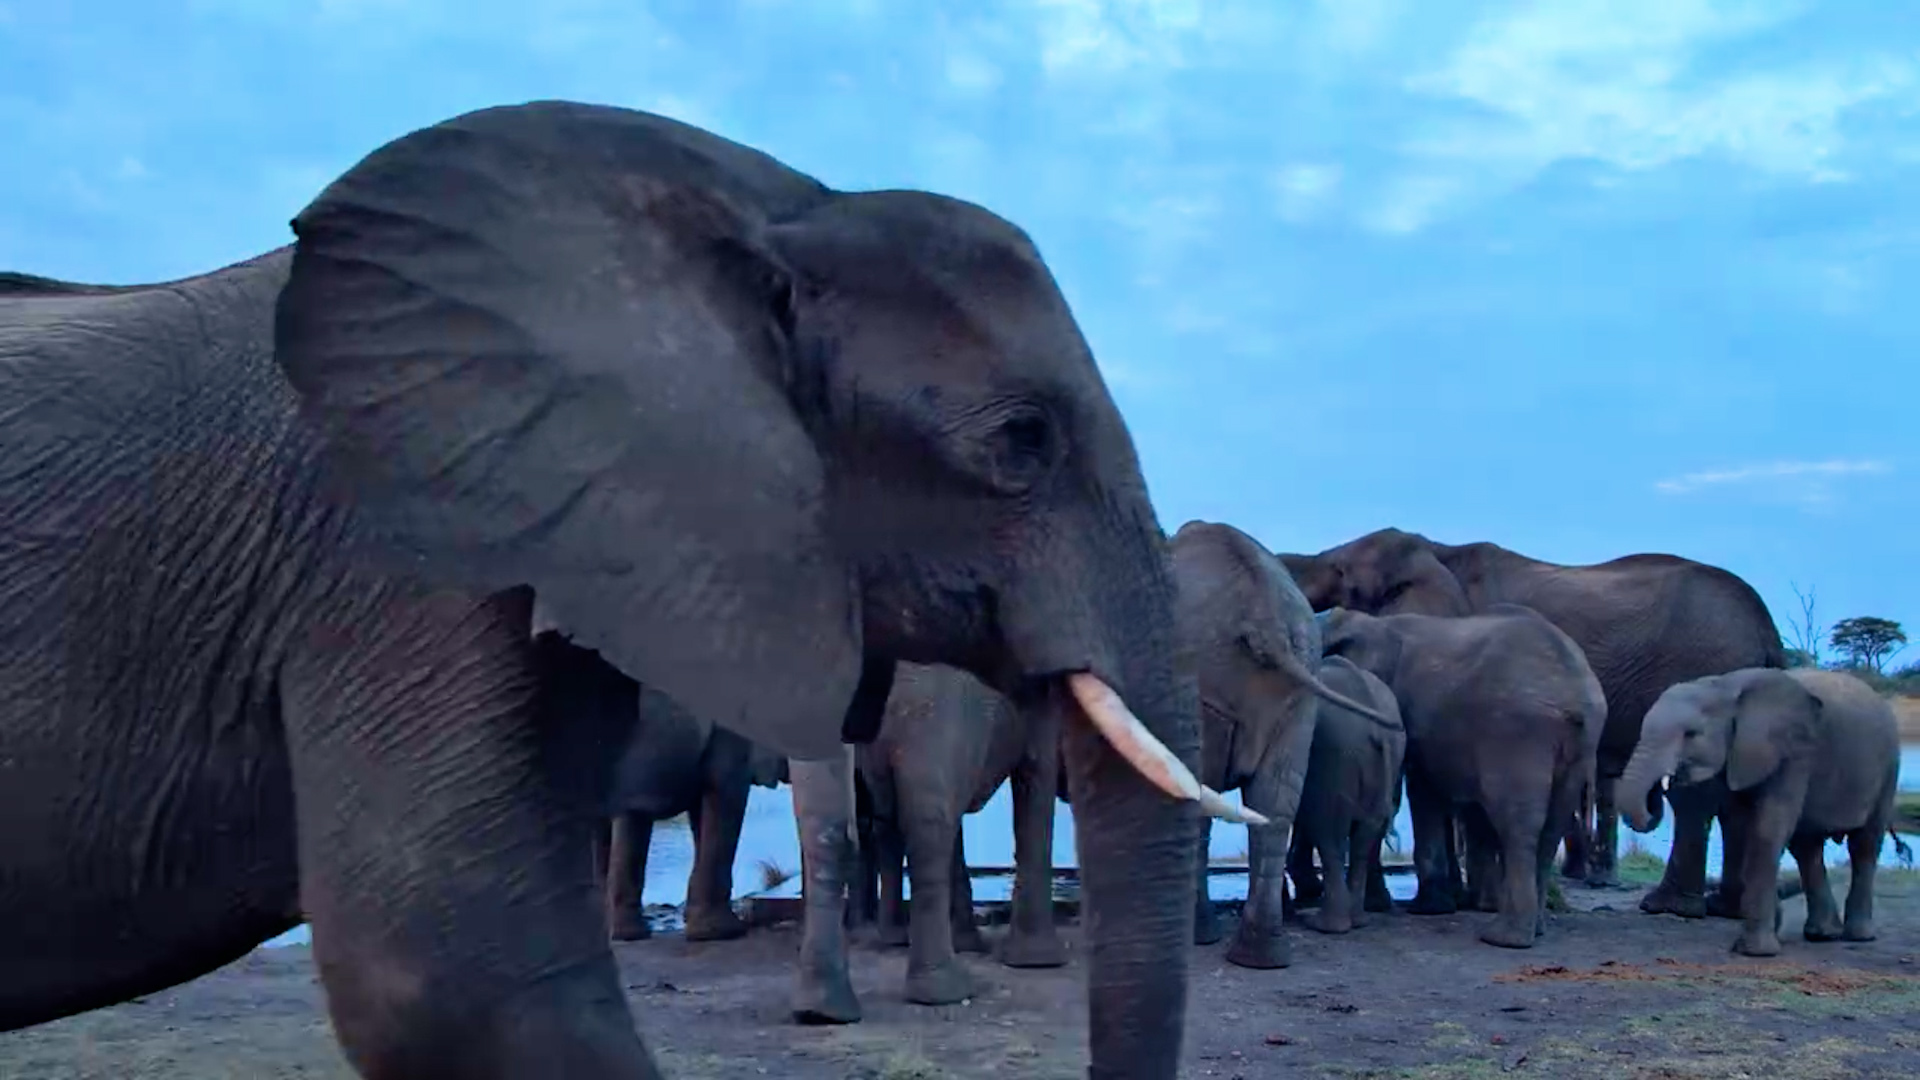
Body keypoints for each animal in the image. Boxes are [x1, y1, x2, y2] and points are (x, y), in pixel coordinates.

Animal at [793, 661, 1065, 1017]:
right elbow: (1036, 770)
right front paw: (1037, 962)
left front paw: (972, 946)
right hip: (932, 705)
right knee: (929, 825)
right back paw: (946, 991)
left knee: (828, 827)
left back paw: (822, 1009)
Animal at [1291, 655, 1406, 935]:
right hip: (1386, 751)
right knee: (1364, 836)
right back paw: (1357, 920)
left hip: (1335, 756)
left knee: (1328, 832)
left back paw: (1325, 925)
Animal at [1319, 605, 1606, 947]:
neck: (1375, 624)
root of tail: (1573, 688)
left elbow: (1420, 791)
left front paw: (1426, 909)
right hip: (1580, 744)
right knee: (1552, 827)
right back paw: (1533, 929)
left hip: (1520, 732)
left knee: (1518, 824)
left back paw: (1504, 938)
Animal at [1619, 668, 1901, 957]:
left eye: (1691, 734)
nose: (1659, 788)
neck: (1723, 685)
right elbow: (1742, 827)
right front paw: (1769, 930)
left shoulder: (1793, 753)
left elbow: (1766, 829)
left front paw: (1755, 951)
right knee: (1807, 849)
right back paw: (1822, 934)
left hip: (1889, 766)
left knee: (1864, 845)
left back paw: (1858, 936)